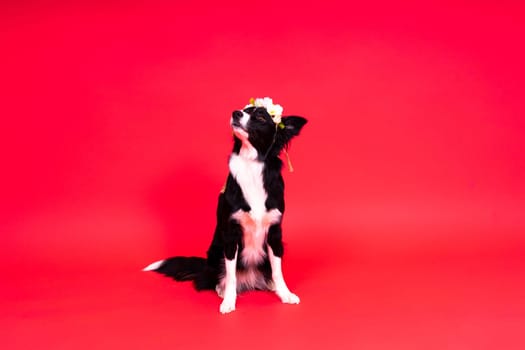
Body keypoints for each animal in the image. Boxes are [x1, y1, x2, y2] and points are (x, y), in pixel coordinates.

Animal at [143, 97, 308, 314]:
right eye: (246, 110)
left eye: (261, 117)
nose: (236, 113)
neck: (252, 163)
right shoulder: (230, 234)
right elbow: (230, 276)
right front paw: (229, 300)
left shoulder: (274, 232)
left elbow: (278, 270)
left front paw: (285, 293)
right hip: (216, 251)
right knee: (216, 278)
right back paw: (221, 289)